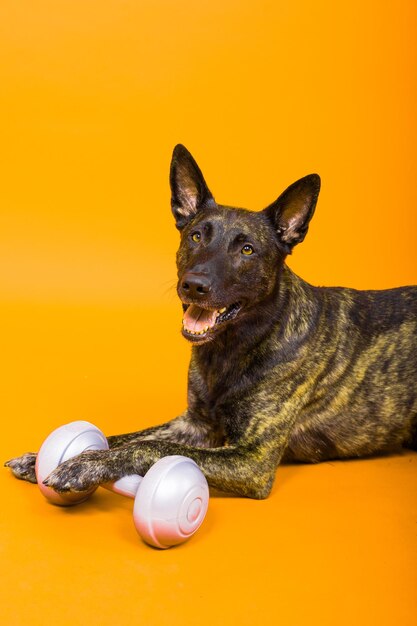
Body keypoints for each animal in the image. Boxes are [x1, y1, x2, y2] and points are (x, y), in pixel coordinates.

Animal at [5, 143, 416, 498]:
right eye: (196, 236)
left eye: (247, 249)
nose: (194, 285)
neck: (232, 347)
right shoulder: (193, 424)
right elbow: (132, 436)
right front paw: (40, 457)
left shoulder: (252, 460)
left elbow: (151, 448)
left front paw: (85, 465)